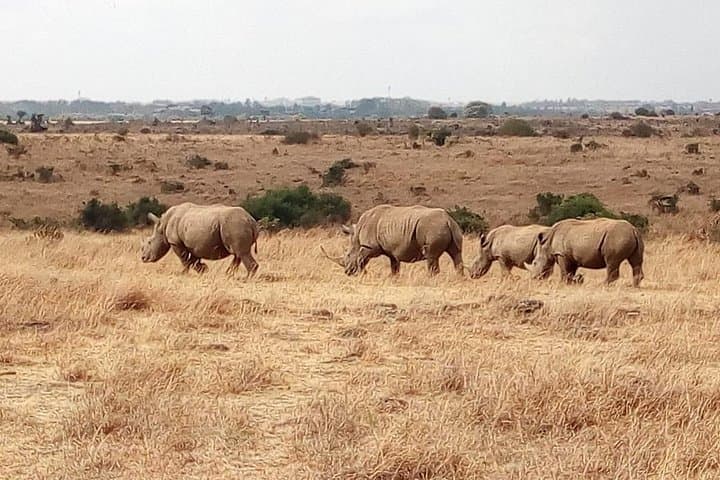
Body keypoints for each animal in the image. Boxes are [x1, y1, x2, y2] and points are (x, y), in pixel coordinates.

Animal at [321, 204, 464, 276]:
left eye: (348, 255)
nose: (347, 272)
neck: (356, 237)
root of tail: (448, 219)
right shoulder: (392, 252)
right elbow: (394, 267)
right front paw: (394, 278)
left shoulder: (369, 247)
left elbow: (362, 259)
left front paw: (361, 273)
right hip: (453, 229)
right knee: (456, 254)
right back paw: (459, 278)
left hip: (432, 227)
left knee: (431, 256)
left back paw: (430, 279)